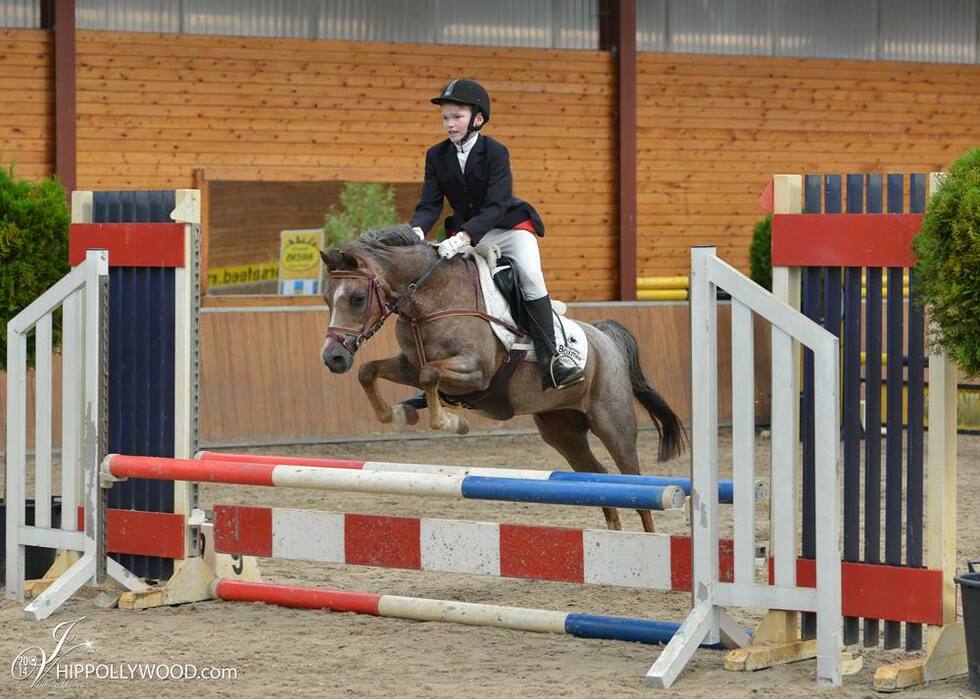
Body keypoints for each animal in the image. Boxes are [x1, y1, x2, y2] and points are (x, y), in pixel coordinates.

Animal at [320, 224, 686, 533]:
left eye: (357, 298)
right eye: (326, 299)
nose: (332, 358)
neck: (430, 301)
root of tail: (605, 339)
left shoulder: (475, 372)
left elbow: (429, 375)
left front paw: (452, 423)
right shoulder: (408, 365)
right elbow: (370, 371)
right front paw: (399, 413)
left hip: (613, 423)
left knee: (635, 483)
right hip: (562, 430)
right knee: (598, 478)